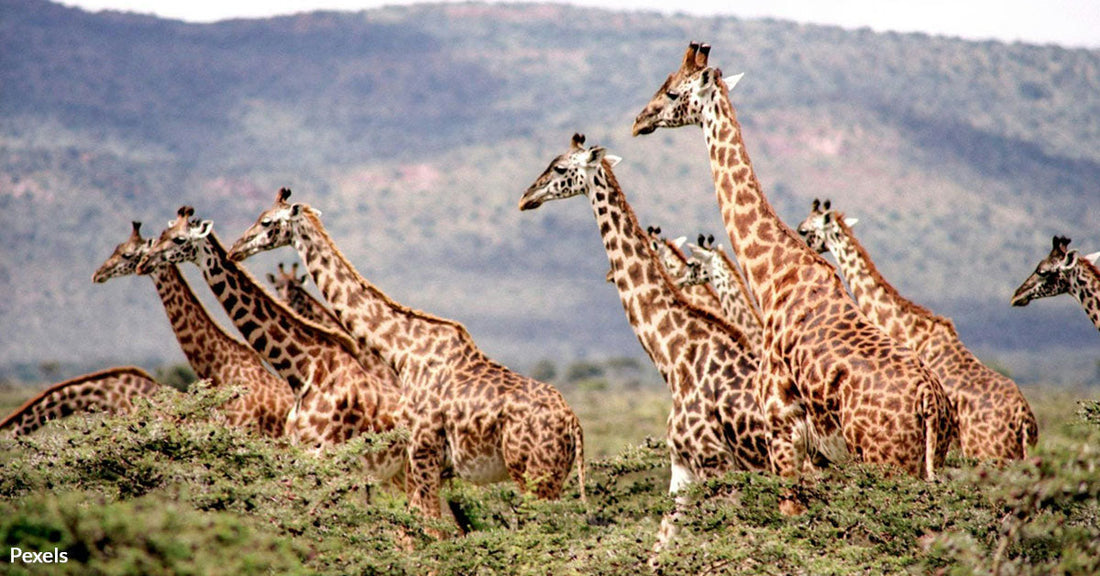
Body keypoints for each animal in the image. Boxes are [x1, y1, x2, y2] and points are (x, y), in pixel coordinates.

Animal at [226, 188, 586, 523]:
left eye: (267, 221)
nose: (235, 249)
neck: (403, 351)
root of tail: (573, 424)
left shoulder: (423, 451)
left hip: (533, 474)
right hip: (551, 476)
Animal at [519, 133, 768, 557]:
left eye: (559, 168)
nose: (526, 197)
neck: (676, 357)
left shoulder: (715, 464)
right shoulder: (682, 467)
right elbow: (660, 547)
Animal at [632, 42, 954, 480]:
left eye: (671, 92)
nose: (638, 122)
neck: (774, 277)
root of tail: (930, 403)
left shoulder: (781, 427)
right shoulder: (817, 453)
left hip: (885, 460)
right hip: (927, 462)